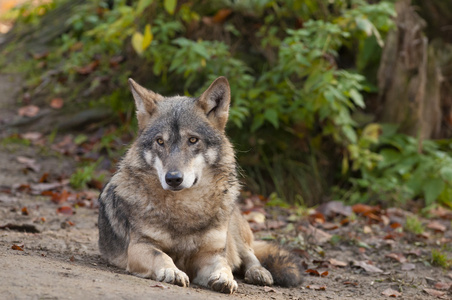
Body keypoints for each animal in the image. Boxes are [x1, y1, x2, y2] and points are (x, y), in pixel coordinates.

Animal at [98, 75, 304, 292]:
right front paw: (172, 271)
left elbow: (224, 265)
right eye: (160, 142)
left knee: (249, 255)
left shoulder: (211, 254)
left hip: (233, 230)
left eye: (192, 140)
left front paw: (225, 278)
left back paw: (259, 273)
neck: (185, 206)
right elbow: (161, 256)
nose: (173, 178)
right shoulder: (140, 245)